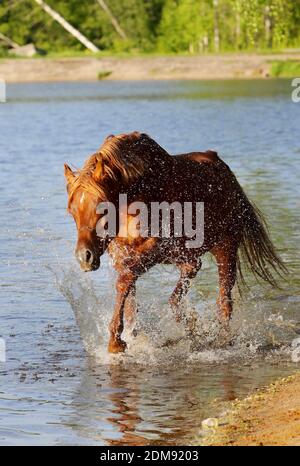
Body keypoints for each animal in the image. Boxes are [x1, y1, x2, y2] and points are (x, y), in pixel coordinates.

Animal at [65, 131, 286, 354]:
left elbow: (124, 282)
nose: (85, 257)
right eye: (72, 212)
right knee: (188, 281)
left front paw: (116, 341)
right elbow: (129, 295)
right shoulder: (123, 256)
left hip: (225, 248)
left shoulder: (155, 249)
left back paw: (221, 339)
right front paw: (129, 336)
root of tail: (226, 172)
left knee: (223, 300)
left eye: (102, 207)